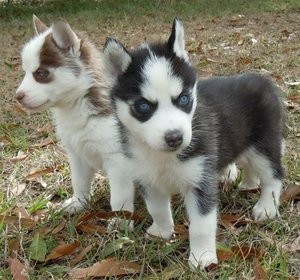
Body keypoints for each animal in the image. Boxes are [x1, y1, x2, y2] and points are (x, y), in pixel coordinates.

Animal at [102, 18, 284, 268]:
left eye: (184, 99)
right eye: (143, 106)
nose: (175, 138)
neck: (163, 157)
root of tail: (262, 80)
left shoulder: (201, 181)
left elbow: (201, 226)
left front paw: (203, 258)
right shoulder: (148, 178)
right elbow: (157, 208)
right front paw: (162, 232)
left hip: (263, 146)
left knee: (274, 175)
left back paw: (266, 207)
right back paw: (249, 183)